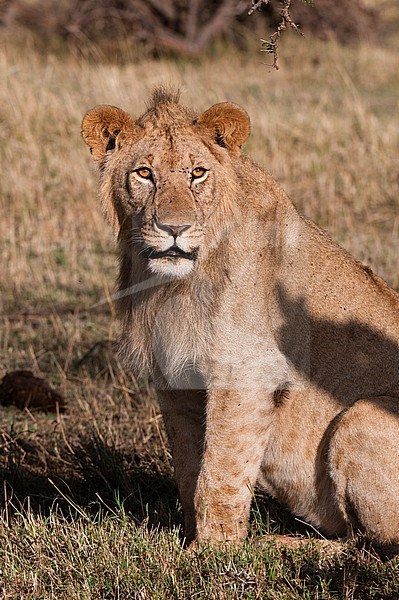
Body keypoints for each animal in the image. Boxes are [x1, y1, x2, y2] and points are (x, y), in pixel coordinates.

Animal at [82, 86, 399, 552]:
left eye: (197, 173)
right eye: (144, 173)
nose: (174, 229)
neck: (175, 287)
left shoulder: (245, 372)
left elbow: (220, 472)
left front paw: (214, 551)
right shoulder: (174, 379)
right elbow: (189, 466)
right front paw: (190, 539)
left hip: (362, 415)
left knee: (371, 544)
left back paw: (279, 544)